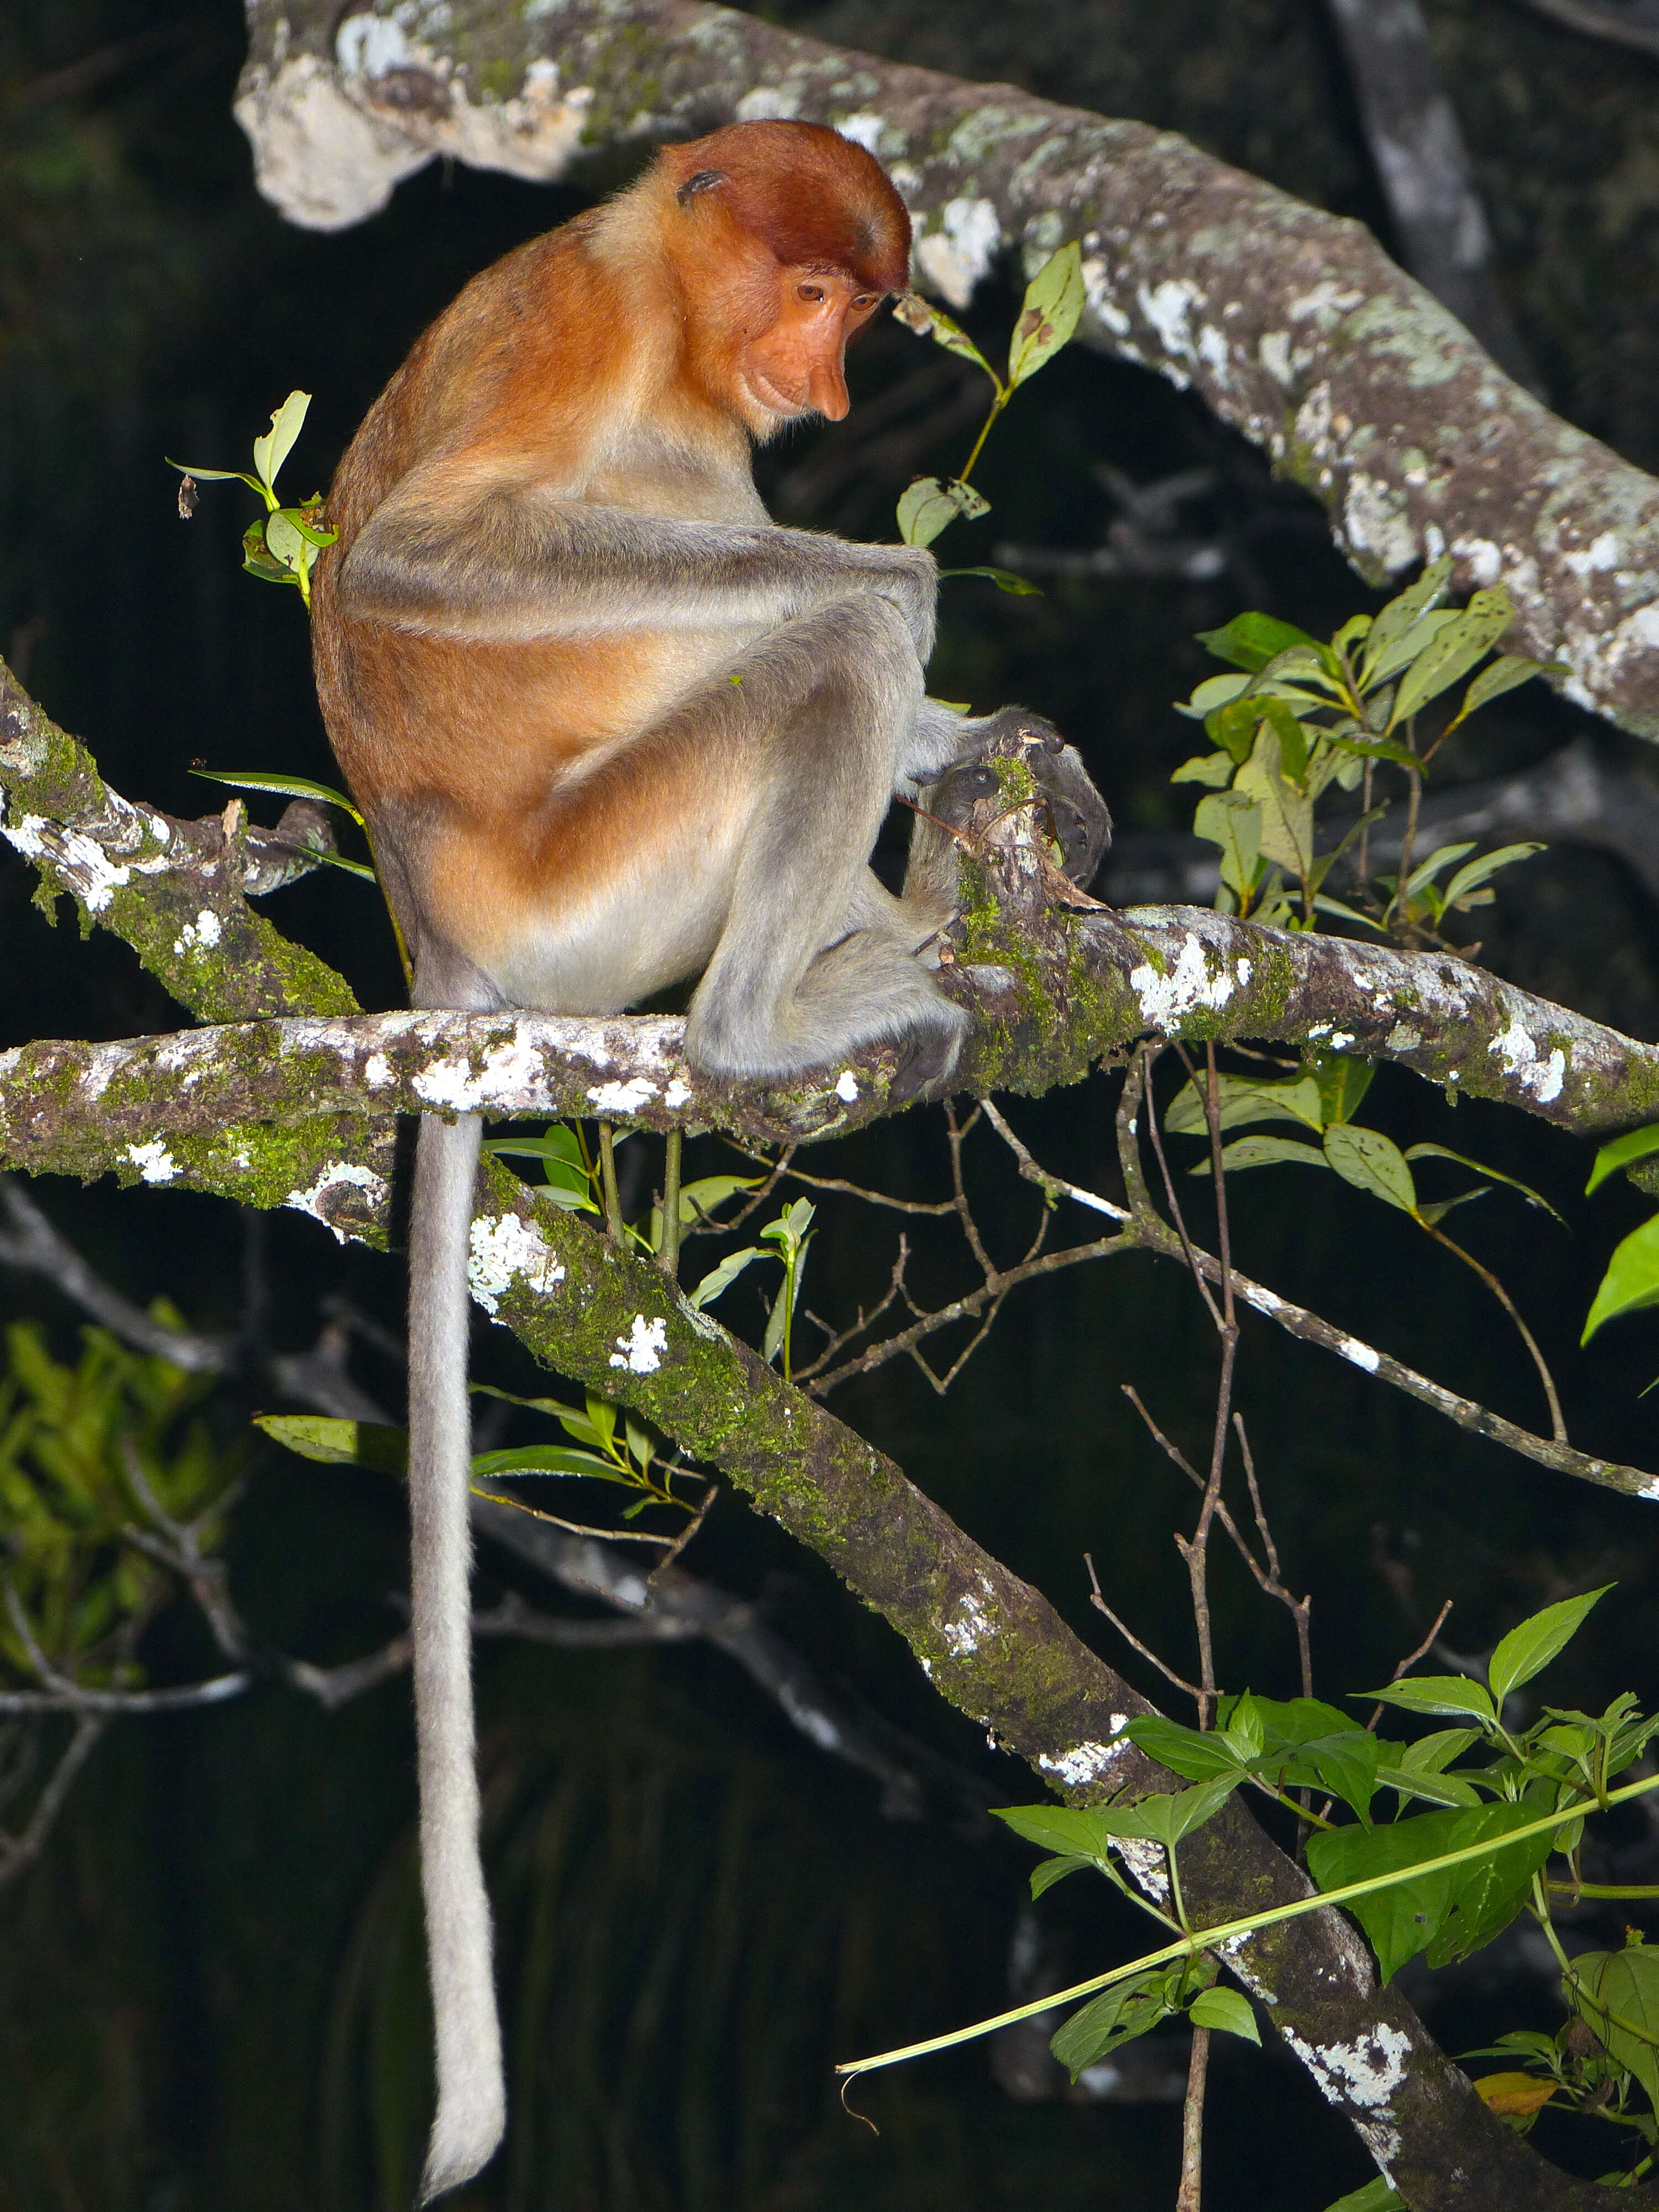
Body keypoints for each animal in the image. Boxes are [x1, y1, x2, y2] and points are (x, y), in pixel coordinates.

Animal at [314, 117, 1119, 2194]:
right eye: (816, 294)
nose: (822, 386)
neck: (677, 338)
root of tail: (441, 938)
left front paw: (1002, 744)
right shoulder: (573, 333)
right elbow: (426, 552)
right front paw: (895, 572)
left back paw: (916, 916)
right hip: (598, 884)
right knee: (805, 648)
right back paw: (776, 1012)